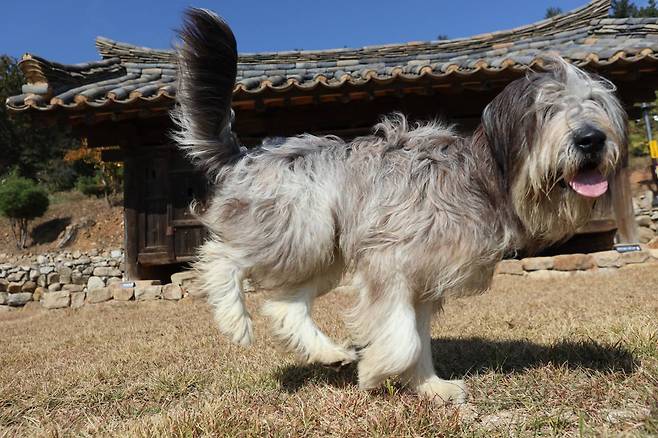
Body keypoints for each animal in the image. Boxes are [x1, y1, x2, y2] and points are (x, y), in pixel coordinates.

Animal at [169, 8, 624, 404]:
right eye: (547, 109)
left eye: (596, 104)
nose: (591, 140)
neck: (480, 179)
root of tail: (249, 154)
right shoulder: (389, 263)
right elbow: (403, 340)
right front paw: (375, 371)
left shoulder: (422, 281)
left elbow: (416, 339)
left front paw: (430, 386)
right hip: (299, 230)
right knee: (221, 256)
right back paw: (234, 319)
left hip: (325, 252)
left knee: (285, 305)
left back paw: (328, 352)